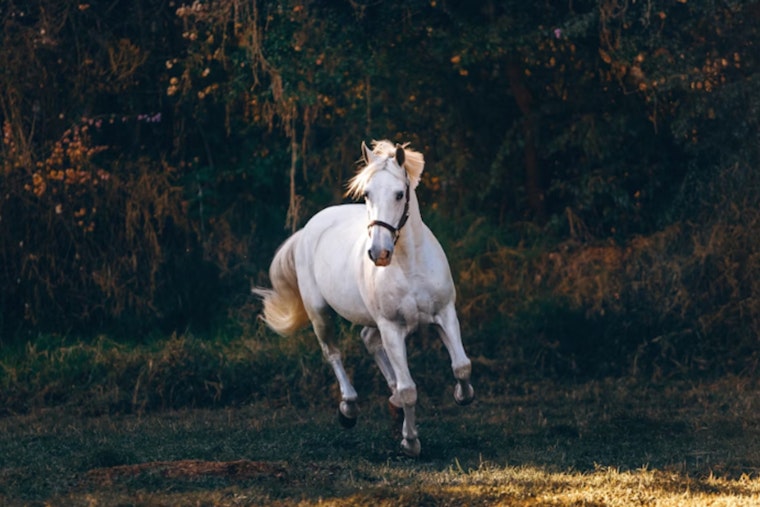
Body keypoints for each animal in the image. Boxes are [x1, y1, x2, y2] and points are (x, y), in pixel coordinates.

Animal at [253, 140, 474, 457]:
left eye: (400, 194)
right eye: (367, 194)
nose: (378, 253)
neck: (410, 265)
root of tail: (309, 228)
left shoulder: (445, 314)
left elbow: (461, 366)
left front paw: (460, 395)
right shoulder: (391, 327)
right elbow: (409, 389)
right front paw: (410, 442)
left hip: (372, 319)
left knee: (368, 340)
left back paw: (391, 400)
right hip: (320, 313)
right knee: (333, 353)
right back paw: (349, 408)